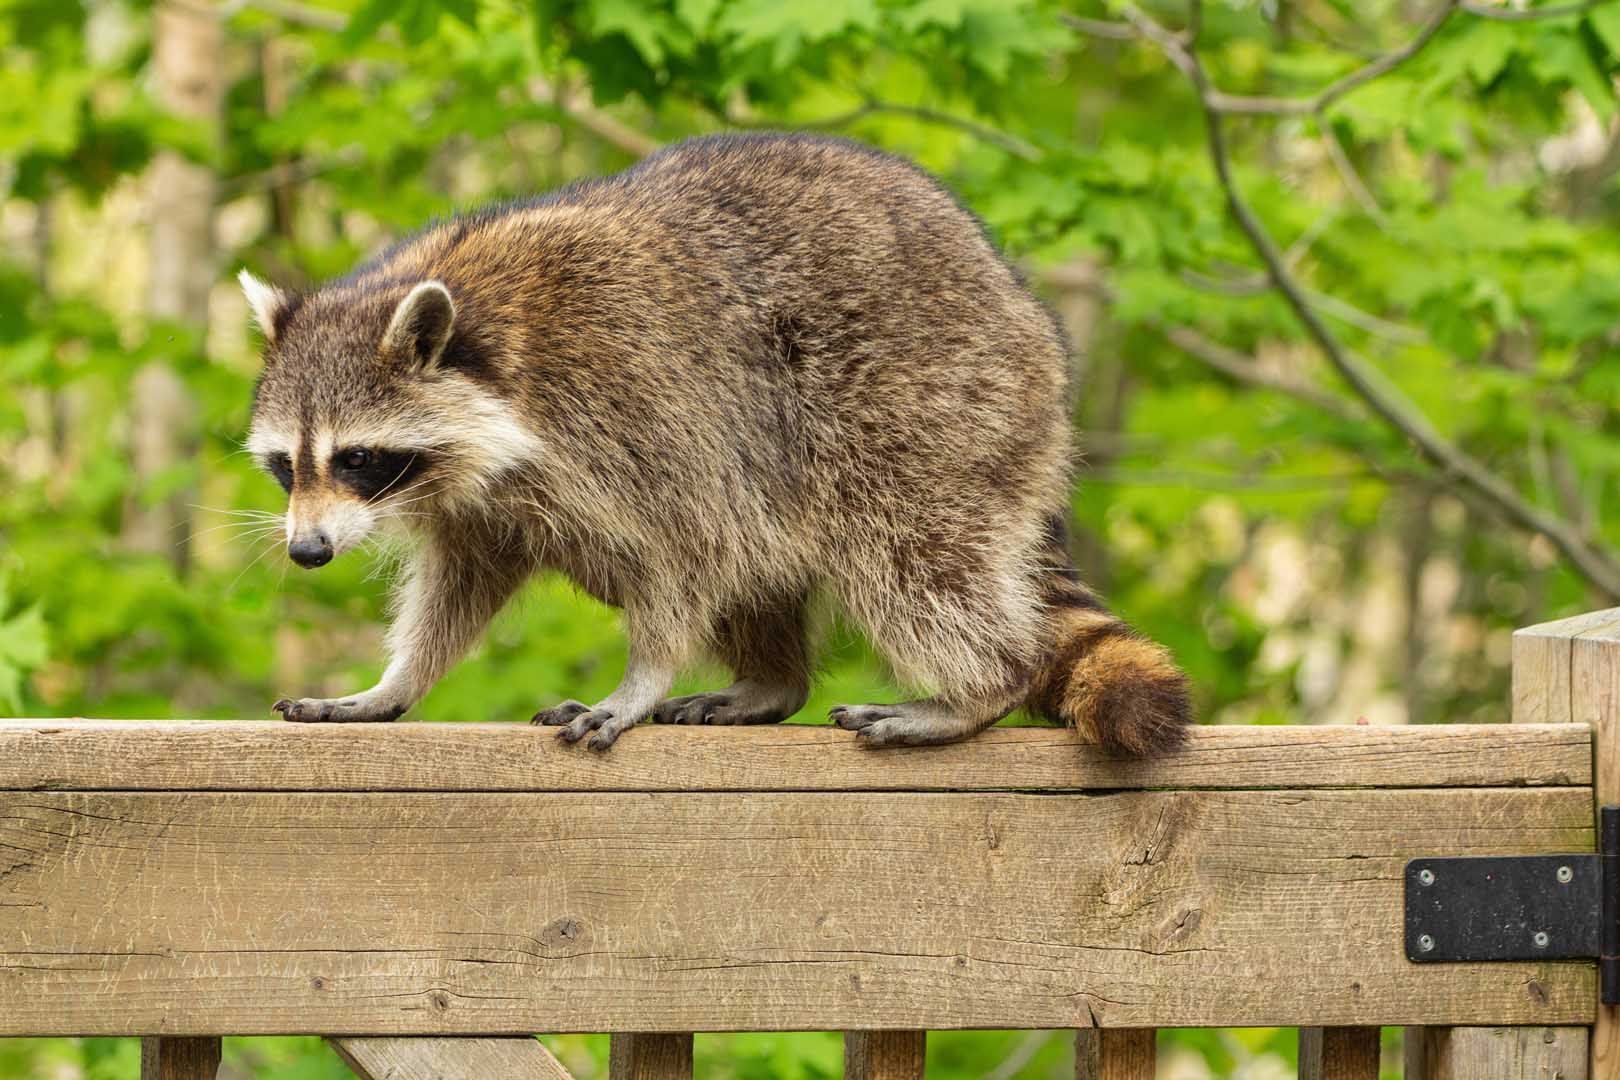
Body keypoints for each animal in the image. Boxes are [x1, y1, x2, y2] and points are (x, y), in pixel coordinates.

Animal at [241, 132, 1190, 753]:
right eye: (287, 466)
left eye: (356, 458)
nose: (307, 552)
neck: (487, 338)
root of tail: (1017, 301)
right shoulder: (481, 500)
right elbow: (460, 586)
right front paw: (395, 684)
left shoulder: (638, 402)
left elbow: (686, 551)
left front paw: (641, 677)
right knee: (769, 557)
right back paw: (772, 680)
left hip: (932, 404)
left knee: (908, 552)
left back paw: (979, 685)